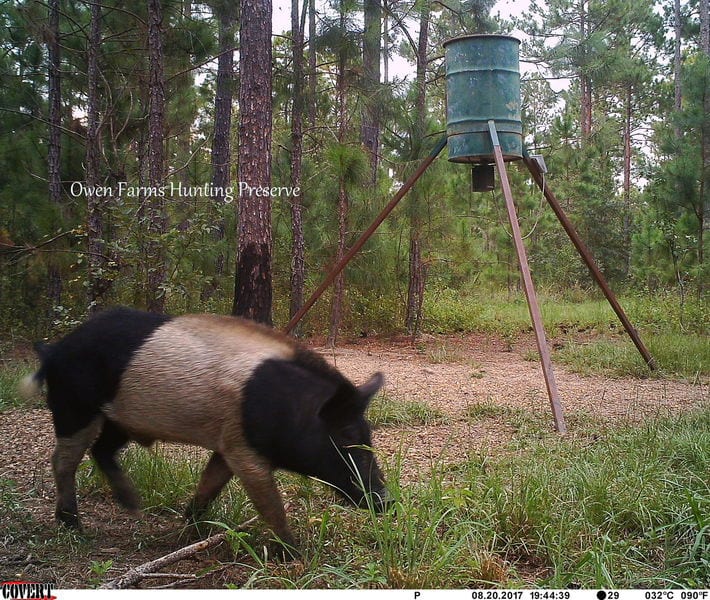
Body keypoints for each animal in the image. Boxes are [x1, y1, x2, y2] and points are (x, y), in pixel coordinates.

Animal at [21, 307, 388, 554]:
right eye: (347, 436)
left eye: (367, 434)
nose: (385, 501)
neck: (286, 405)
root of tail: (54, 350)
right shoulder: (244, 451)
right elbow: (270, 504)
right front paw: (295, 554)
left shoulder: (227, 445)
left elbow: (209, 485)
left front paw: (187, 534)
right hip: (74, 408)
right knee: (63, 460)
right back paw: (74, 525)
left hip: (120, 420)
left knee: (102, 450)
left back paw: (133, 506)